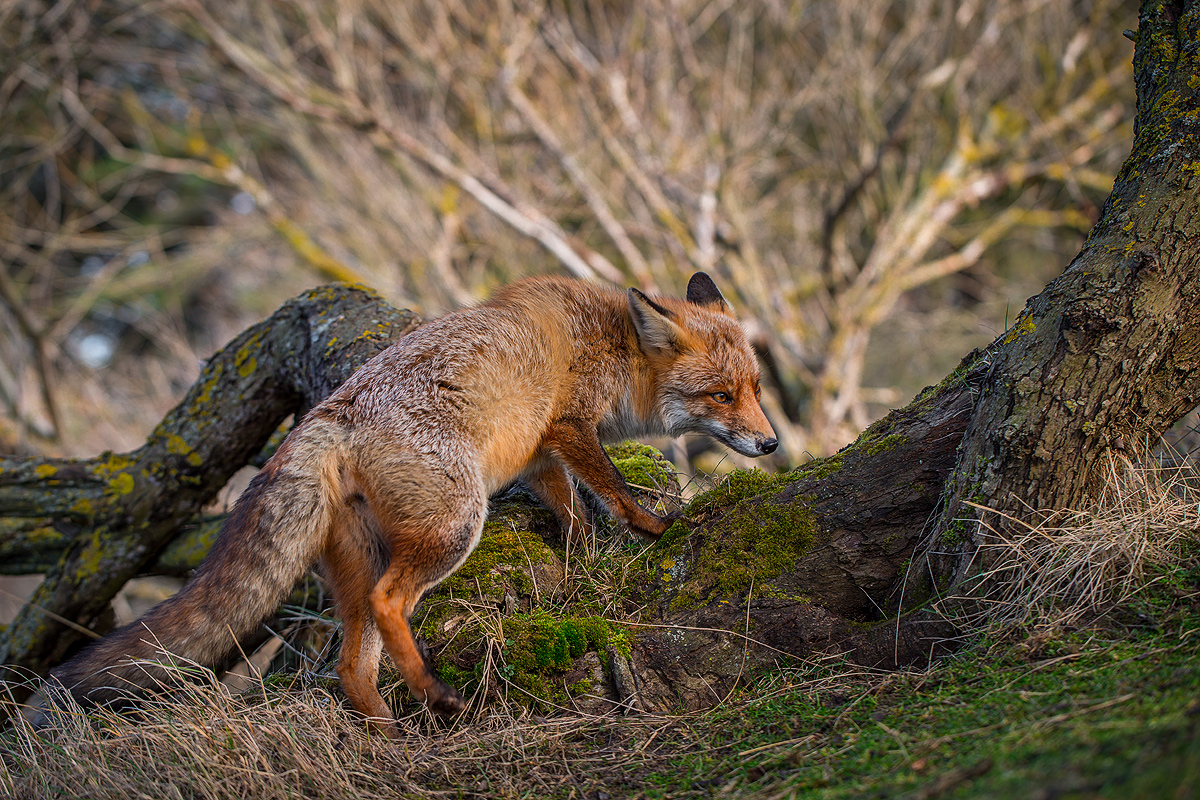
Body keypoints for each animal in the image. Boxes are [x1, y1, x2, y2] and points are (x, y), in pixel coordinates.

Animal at [46, 273, 777, 734]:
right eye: (720, 396)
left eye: (756, 387)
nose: (770, 442)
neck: (608, 341)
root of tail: (332, 413)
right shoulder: (570, 427)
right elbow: (614, 493)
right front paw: (654, 528)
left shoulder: (540, 452)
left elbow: (571, 512)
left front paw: (582, 560)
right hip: (454, 527)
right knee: (389, 603)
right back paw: (431, 691)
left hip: (360, 559)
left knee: (350, 663)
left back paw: (388, 732)